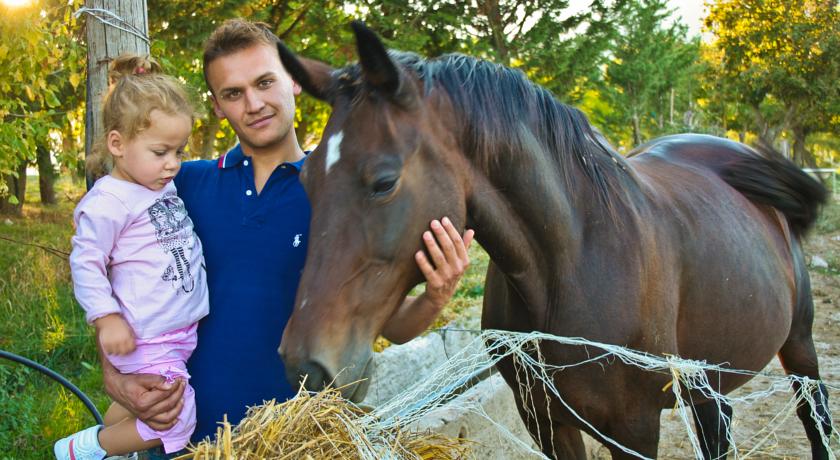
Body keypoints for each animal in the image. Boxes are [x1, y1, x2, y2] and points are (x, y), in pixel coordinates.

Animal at [278, 23, 832, 458]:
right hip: (707, 373)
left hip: (799, 345)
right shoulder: (546, 421)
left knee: (817, 416)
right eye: (305, 179)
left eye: (384, 182)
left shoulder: (634, 428)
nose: (305, 366)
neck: (571, 263)